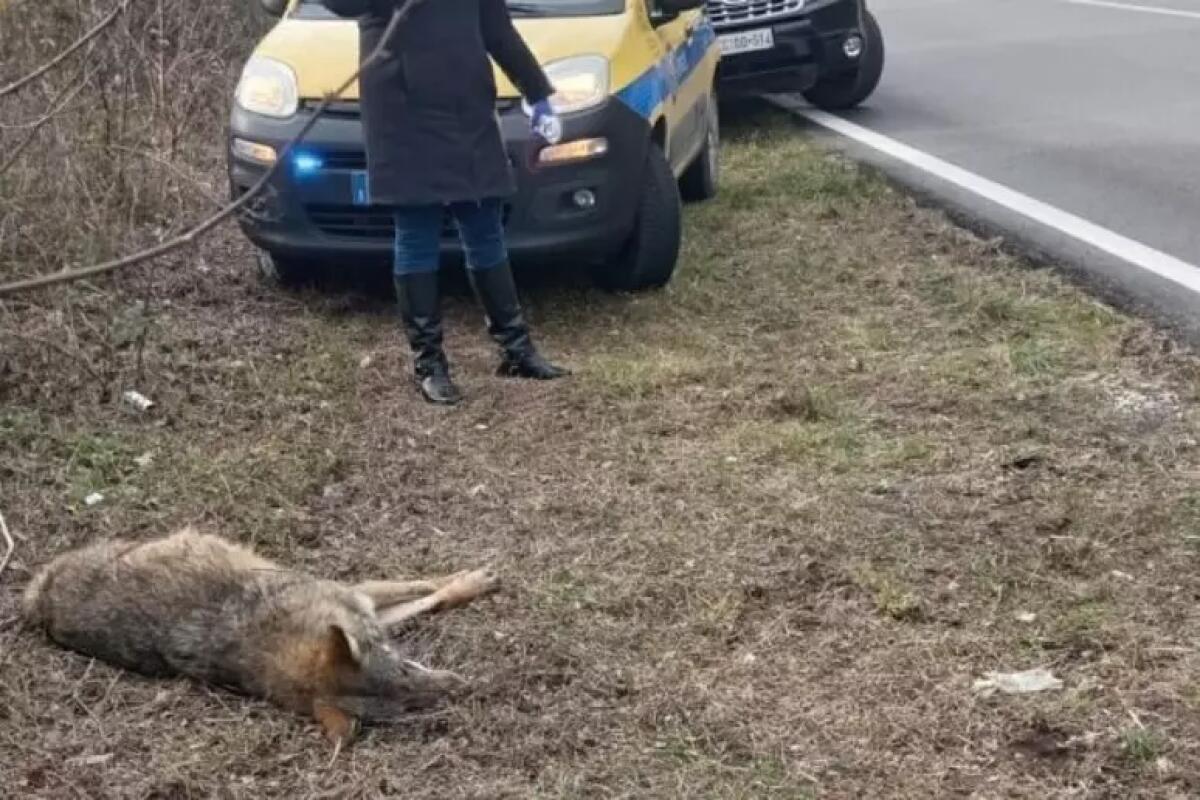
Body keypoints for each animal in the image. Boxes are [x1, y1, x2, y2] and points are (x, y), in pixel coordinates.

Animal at [22, 527, 499, 747]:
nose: (463, 688)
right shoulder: (358, 594)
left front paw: (469, 581)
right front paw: (471, 581)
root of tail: (38, 599)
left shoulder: (360, 598)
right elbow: (430, 592)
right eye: (403, 707)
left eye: (404, 671)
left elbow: (431, 589)